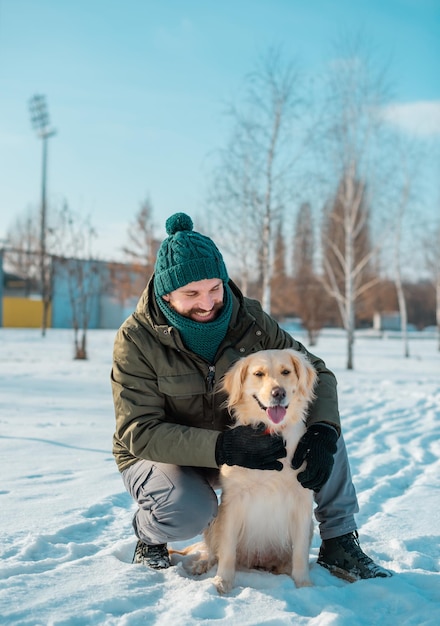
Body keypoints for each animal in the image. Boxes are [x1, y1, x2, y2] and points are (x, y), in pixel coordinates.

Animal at [191, 348, 318, 592]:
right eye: (259, 374)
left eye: (286, 372)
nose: (278, 393)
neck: (272, 432)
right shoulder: (233, 501)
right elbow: (227, 551)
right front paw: (222, 581)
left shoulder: (302, 501)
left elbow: (299, 553)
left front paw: (304, 585)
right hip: (214, 521)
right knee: (213, 552)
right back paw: (203, 565)